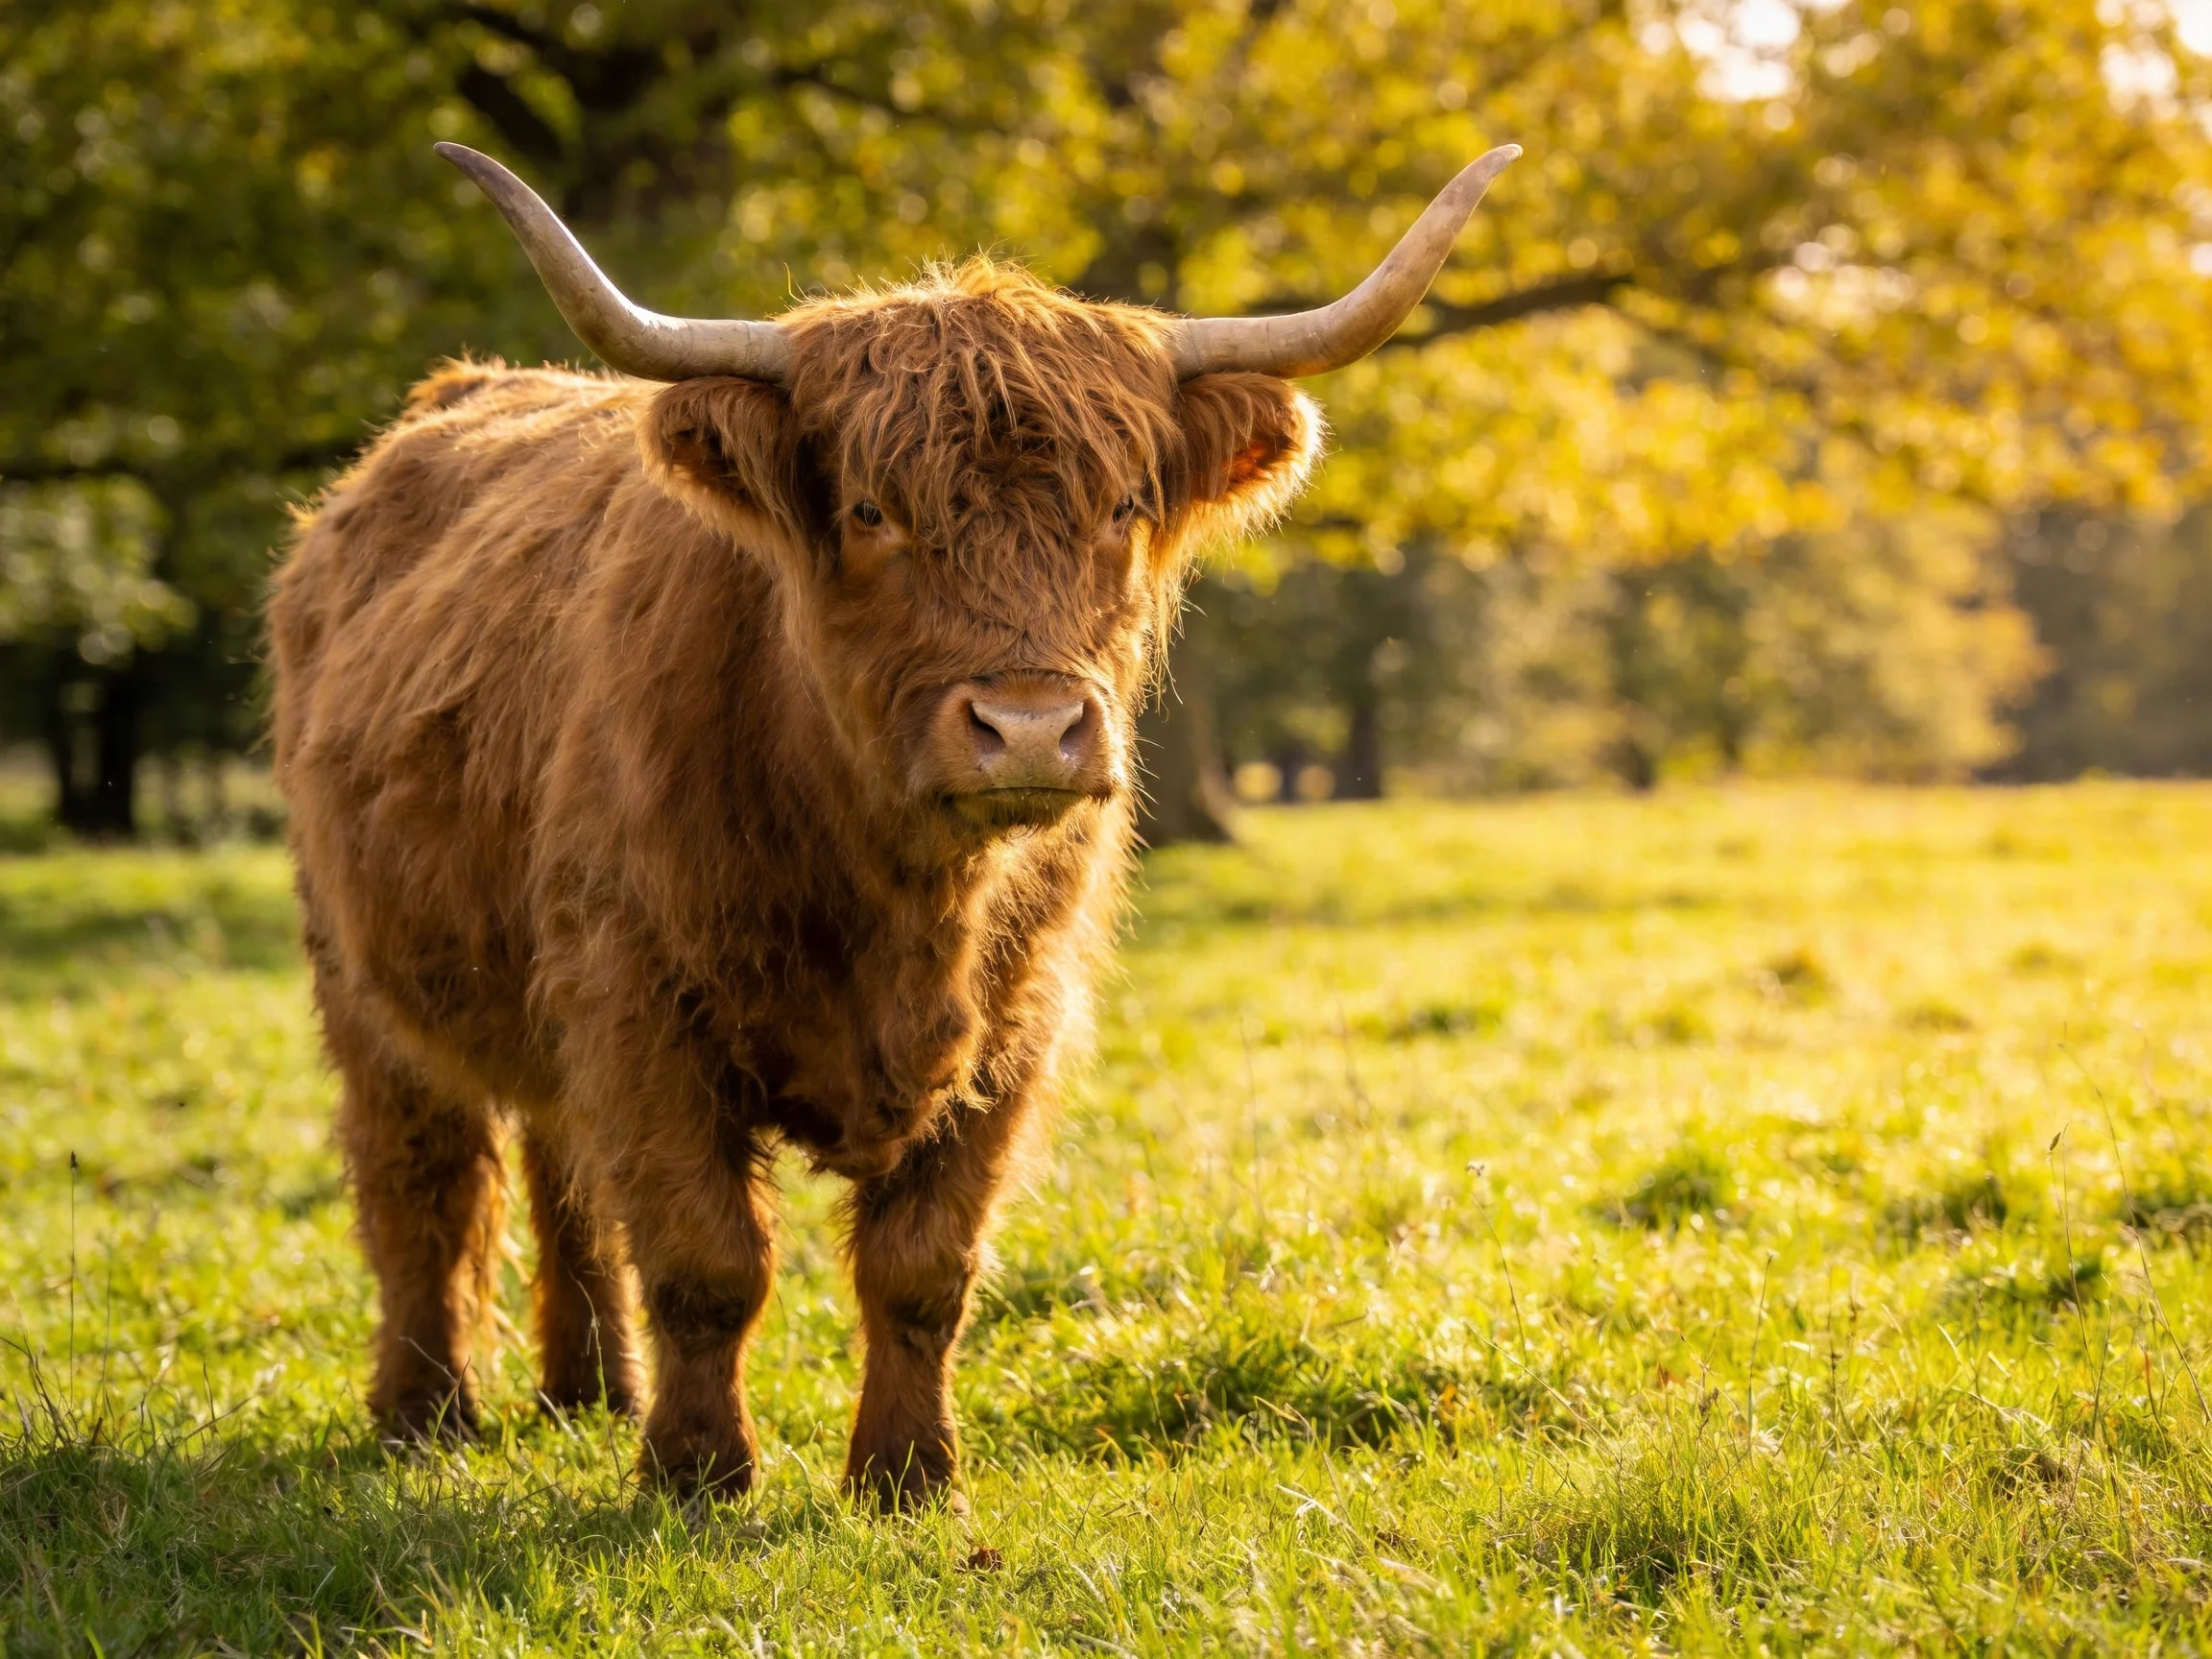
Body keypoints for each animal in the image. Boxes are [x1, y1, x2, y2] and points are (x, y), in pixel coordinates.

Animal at [268, 139, 1518, 1509]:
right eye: (872, 511)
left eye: (1125, 506)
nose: (1028, 726)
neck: (897, 892)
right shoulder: (635, 991)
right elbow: (707, 1258)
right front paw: (699, 1475)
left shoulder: (1018, 1021)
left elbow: (925, 1266)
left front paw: (909, 1474)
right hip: (358, 973)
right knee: (421, 1181)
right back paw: (426, 1410)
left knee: (560, 1167)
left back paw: (589, 1391)